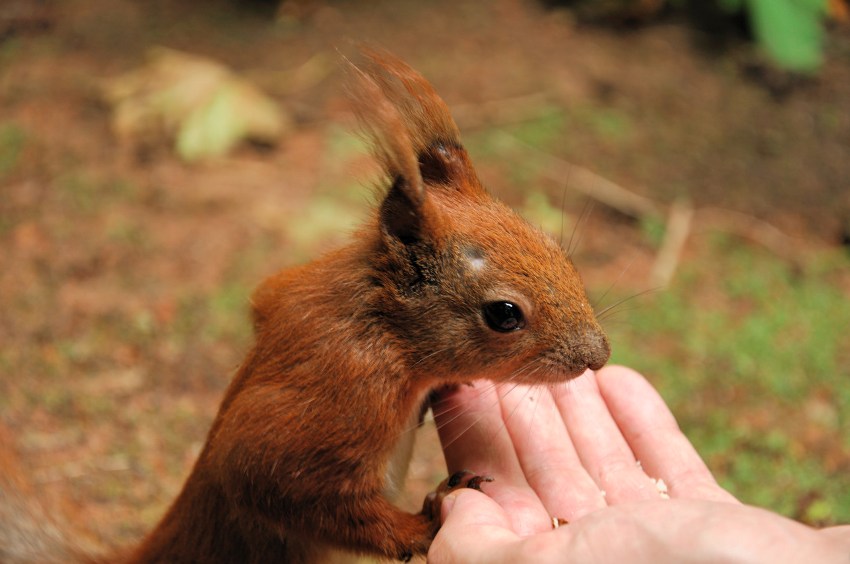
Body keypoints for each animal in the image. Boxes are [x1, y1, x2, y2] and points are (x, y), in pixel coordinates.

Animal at [0, 50, 608, 560]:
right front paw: (428, 520)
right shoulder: (344, 393)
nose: (598, 356)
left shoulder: (282, 290)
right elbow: (266, 477)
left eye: (554, 246)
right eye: (504, 314)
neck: (387, 329)